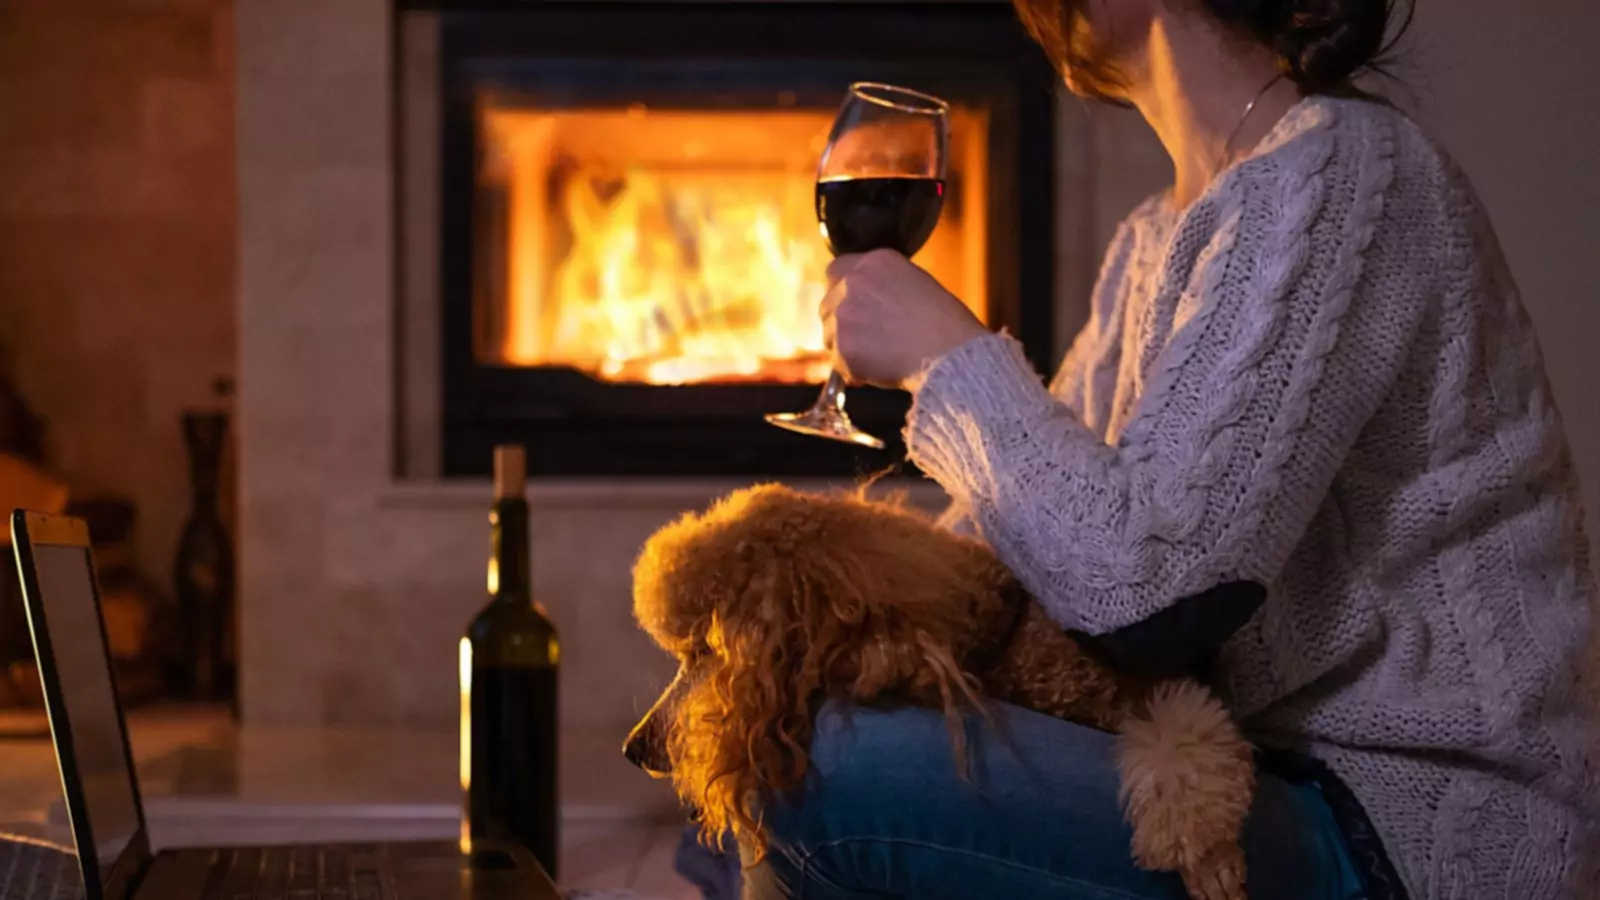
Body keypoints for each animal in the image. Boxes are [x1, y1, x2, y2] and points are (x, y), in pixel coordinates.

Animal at [624, 483, 1260, 896]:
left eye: (706, 651)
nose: (634, 751)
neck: (1004, 638)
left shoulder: (1149, 689)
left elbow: (1184, 733)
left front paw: (1210, 856)